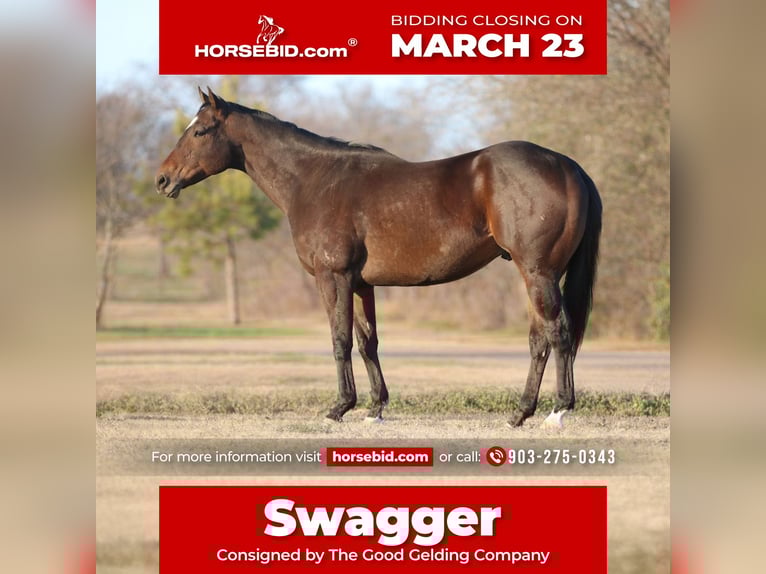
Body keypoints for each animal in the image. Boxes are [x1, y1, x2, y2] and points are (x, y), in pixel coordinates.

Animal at [155, 88, 602, 428]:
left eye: (200, 131)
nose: (162, 179)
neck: (314, 180)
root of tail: (567, 165)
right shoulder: (360, 284)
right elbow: (367, 342)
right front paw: (374, 409)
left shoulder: (332, 277)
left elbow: (339, 340)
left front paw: (339, 408)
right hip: (535, 275)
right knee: (539, 339)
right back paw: (520, 413)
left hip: (538, 272)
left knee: (558, 332)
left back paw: (557, 412)